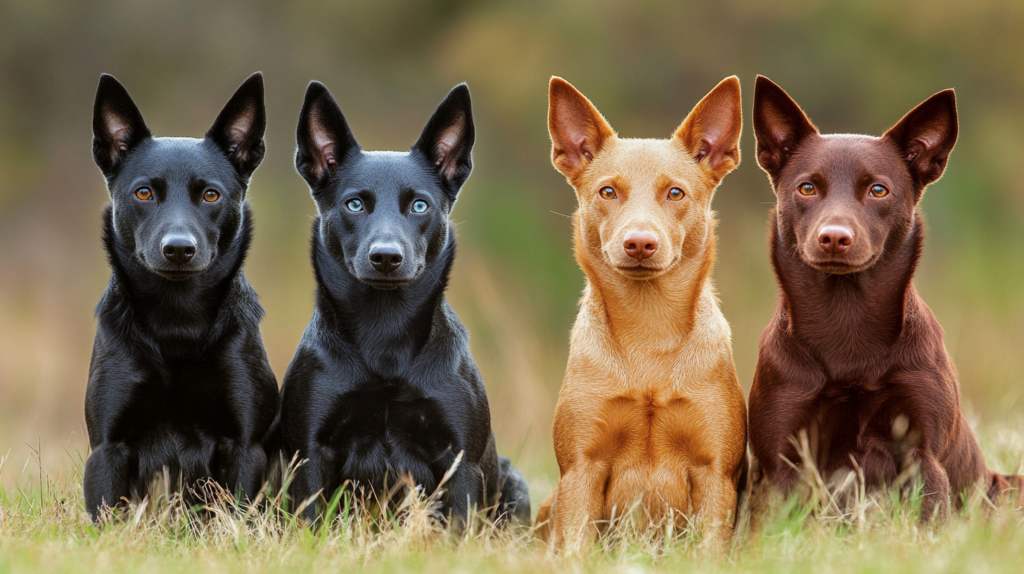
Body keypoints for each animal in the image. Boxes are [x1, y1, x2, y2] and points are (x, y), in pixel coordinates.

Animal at [83, 72, 278, 519]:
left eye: (211, 195)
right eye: (143, 193)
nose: (178, 248)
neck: (178, 320)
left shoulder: (244, 446)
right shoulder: (107, 448)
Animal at [276, 80, 532, 523]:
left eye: (419, 205)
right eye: (355, 203)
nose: (386, 257)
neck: (385, 336)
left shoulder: (460, 461)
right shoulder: (309, 454)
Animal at [540, 76, 749, 552]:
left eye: (675, 192)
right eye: (607, 191)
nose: (639, 242)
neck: (648, 331)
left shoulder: (715, 473)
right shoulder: (581, 467)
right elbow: (575, 544)